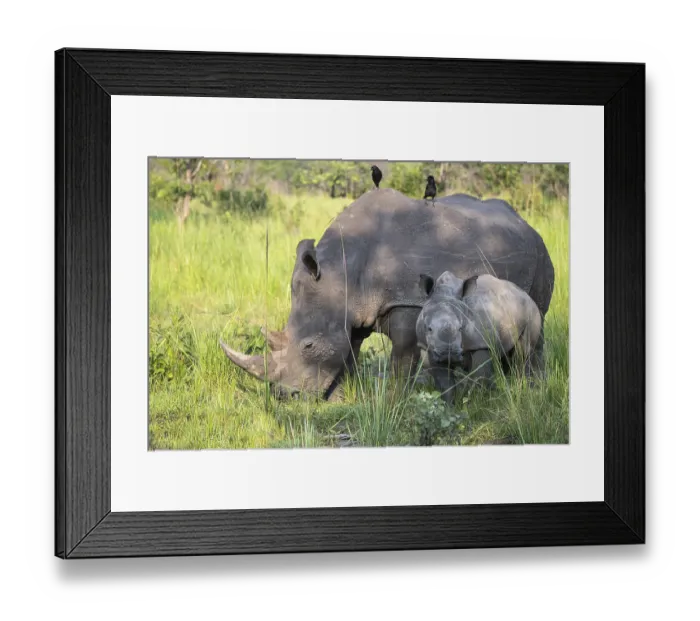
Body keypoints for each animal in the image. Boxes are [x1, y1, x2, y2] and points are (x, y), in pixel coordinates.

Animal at [415, 271, 543, 404]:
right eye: (429, 328)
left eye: (461, 328)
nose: (448, 353)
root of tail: (523, 292)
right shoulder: (427, 348)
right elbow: (445, 384)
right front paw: (448, 406)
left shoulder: (481, 344)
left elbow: (479, 378)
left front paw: (477, 403)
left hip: (531, 310)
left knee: (522, 354)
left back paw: (524, 388)